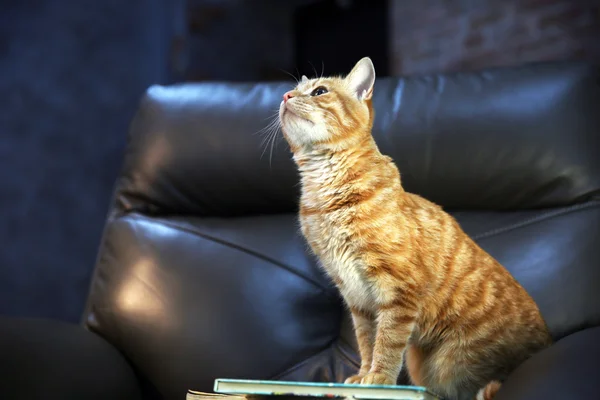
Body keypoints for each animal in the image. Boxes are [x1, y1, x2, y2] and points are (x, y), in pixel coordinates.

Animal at [278, 58, 552, 400]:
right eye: (293, 89)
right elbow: (367, 341)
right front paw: (364, 374)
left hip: (448, 363)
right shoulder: (357, 298)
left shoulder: (398, 290)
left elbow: (387, 343)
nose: (285, 96)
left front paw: (378, 380)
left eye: (319, 91)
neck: (325, 196)